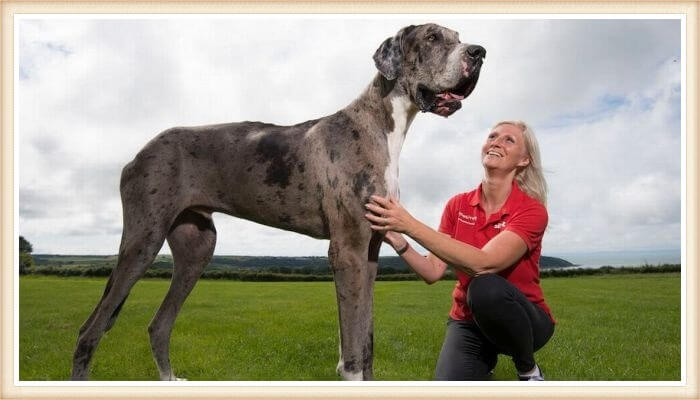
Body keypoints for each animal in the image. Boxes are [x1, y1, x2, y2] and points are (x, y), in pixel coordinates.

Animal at [72, 22, 486, 382]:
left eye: (458, 37)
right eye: (432, 37)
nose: (479, 52)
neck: (381, 124)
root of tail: (139, 153)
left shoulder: (369, 253)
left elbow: (366, 343)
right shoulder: (348, 250)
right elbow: (353, 351)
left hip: (197, 247)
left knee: (158, 325)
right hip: (142, 241)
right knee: (89, 331)